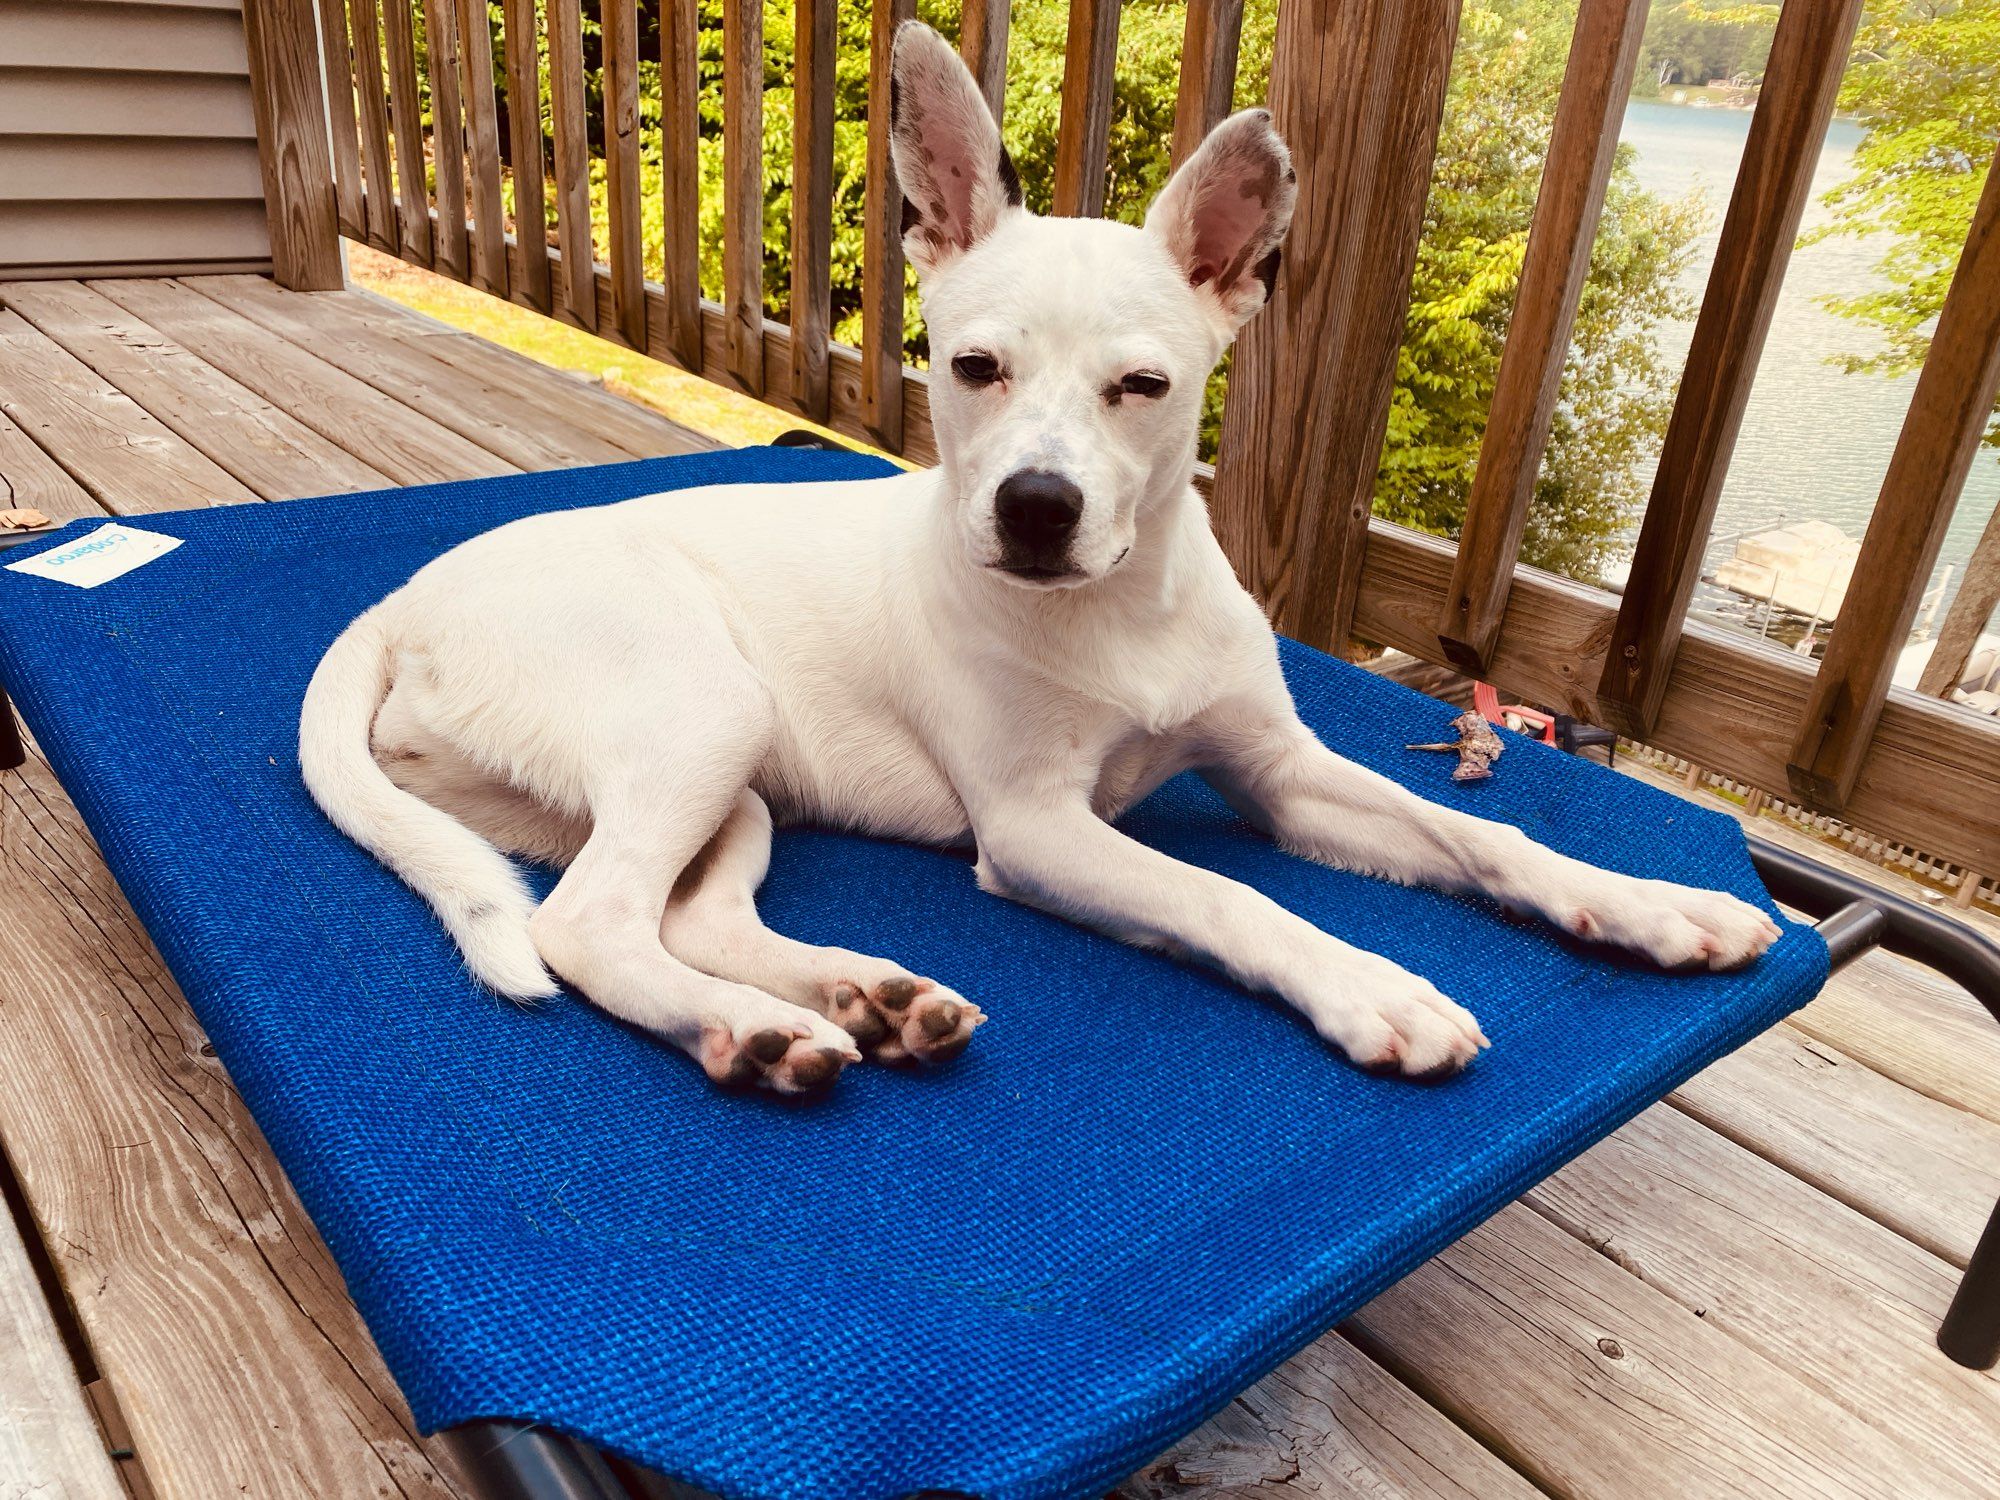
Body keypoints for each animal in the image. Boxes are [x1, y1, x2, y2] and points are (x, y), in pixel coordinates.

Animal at [292, 23, 1768, 1104]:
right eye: (971, 367)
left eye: (1144, 386)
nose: (1037, 510)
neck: (1122, 611)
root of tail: (401, 603)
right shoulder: (1038, 830)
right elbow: (1225, 892)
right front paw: (1372, 987)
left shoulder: (1284, 777)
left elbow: (1481, 832)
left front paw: (1645, 906)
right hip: (696, 708)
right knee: (590, 923)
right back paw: (753, 1035)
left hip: (733, 777)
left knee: (682, 914)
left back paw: (860, 997)